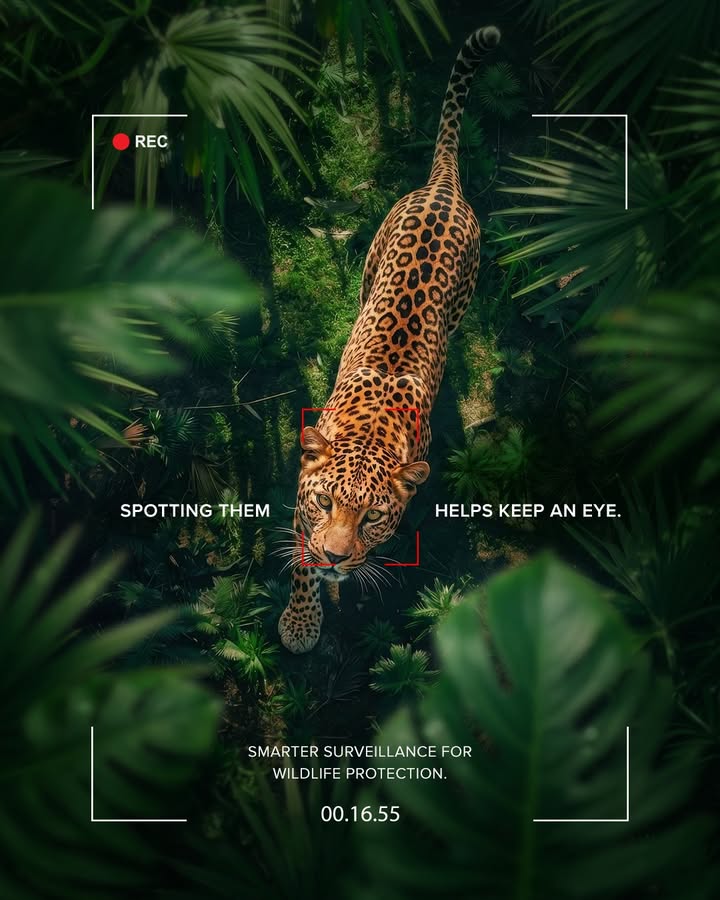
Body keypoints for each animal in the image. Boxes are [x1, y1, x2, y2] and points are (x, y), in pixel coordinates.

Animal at [279, 25, 501, 653]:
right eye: (325, 501)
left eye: (374, 517)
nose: (336, 558)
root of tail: (442, 186)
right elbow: (300, 556)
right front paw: (301, 621)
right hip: (368, 268)